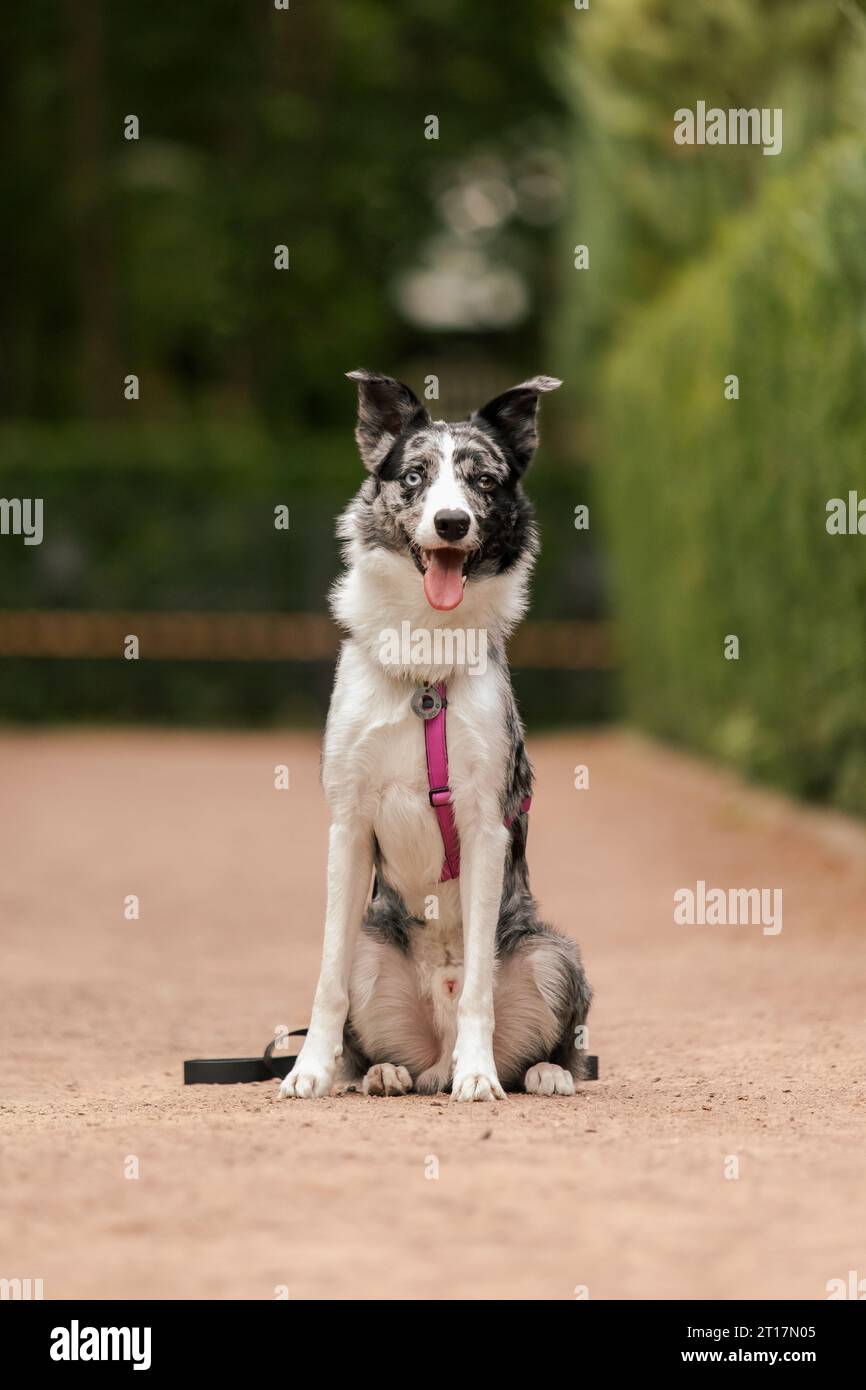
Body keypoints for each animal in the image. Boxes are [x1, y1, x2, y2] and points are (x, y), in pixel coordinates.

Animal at [280, 372, 592, 1106]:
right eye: (416, 476)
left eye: (483, 480)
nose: (452, 522)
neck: (426, 663)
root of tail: (435, 1053)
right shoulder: (348, 823)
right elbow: (326, 979)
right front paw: (309, 1070)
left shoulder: (484, 827)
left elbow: (479, 983)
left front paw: (480, 1075)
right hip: (373, 949)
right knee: (375, 1039)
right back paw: (383, 1073)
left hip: (554, 953)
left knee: (551, 1041)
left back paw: (535, 1071)